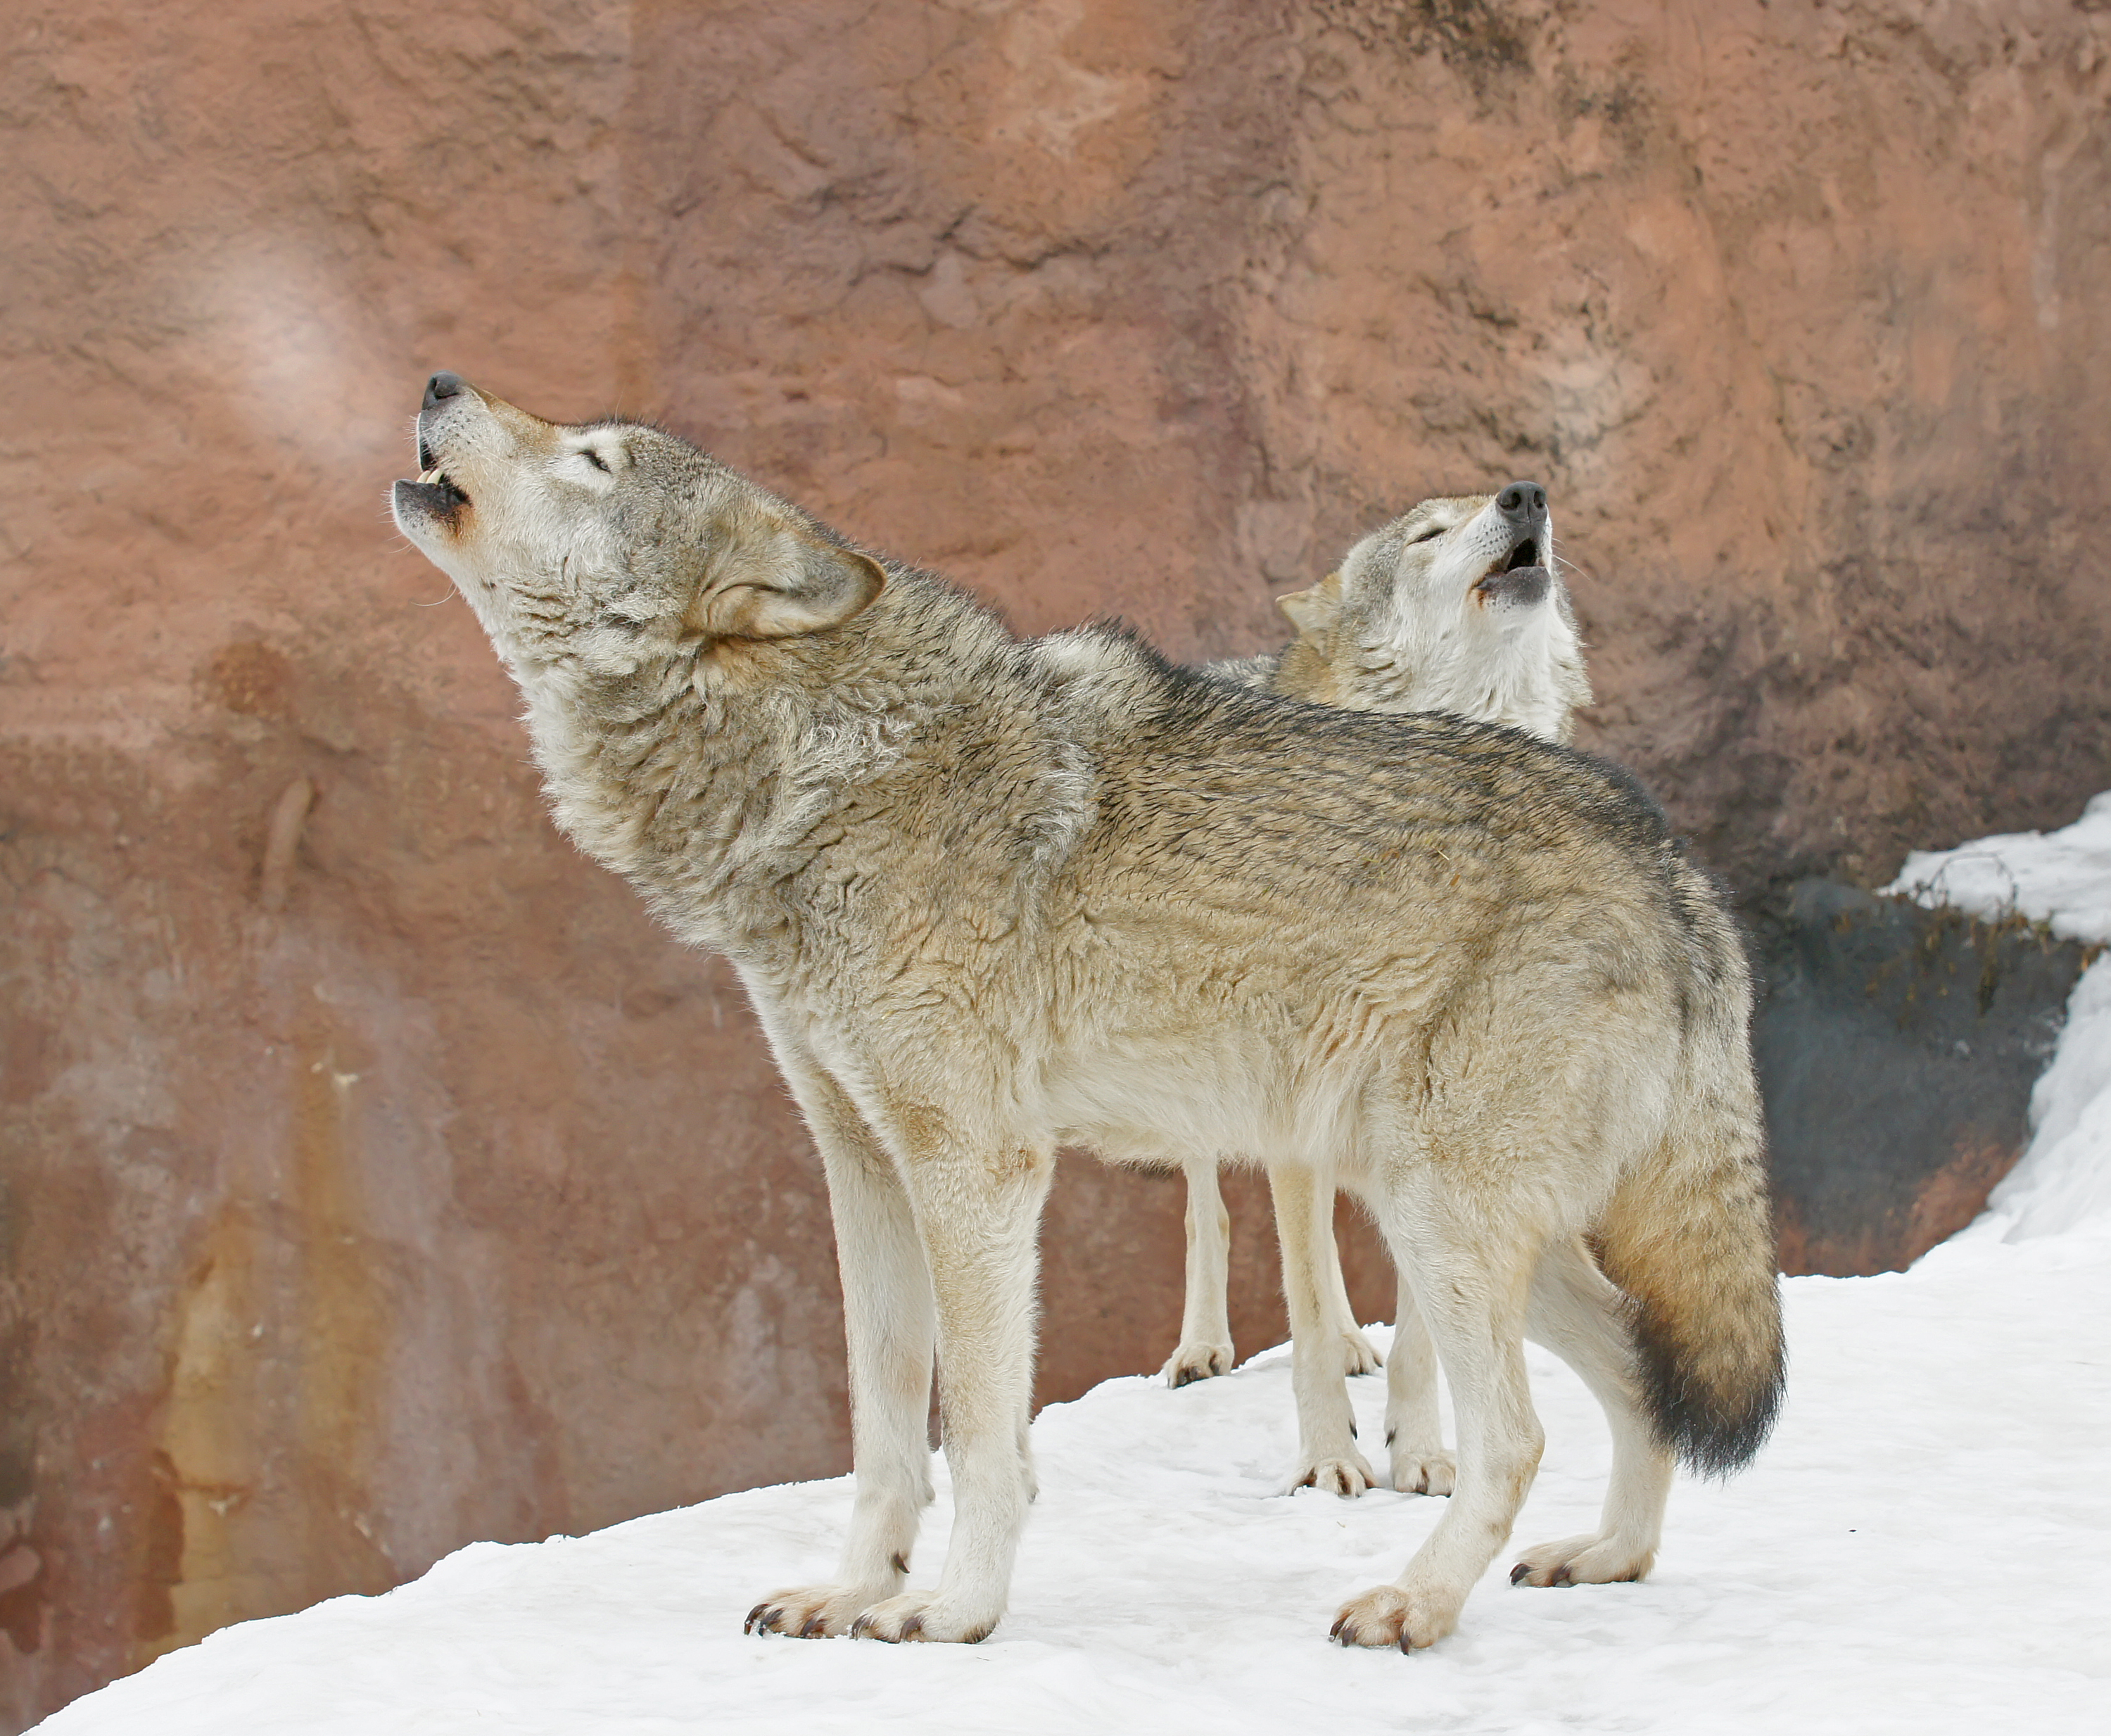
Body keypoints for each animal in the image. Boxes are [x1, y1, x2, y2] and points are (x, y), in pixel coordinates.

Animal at [1165, 486, 1587, 1512]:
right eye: (1428, 533)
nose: (1527, 493)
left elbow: (1415, 1330)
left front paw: (1425, 1451)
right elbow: (1303, 1308)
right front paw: (1329, 1461)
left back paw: (1363, 1343)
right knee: (1213, 1210)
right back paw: (1202, 1346)